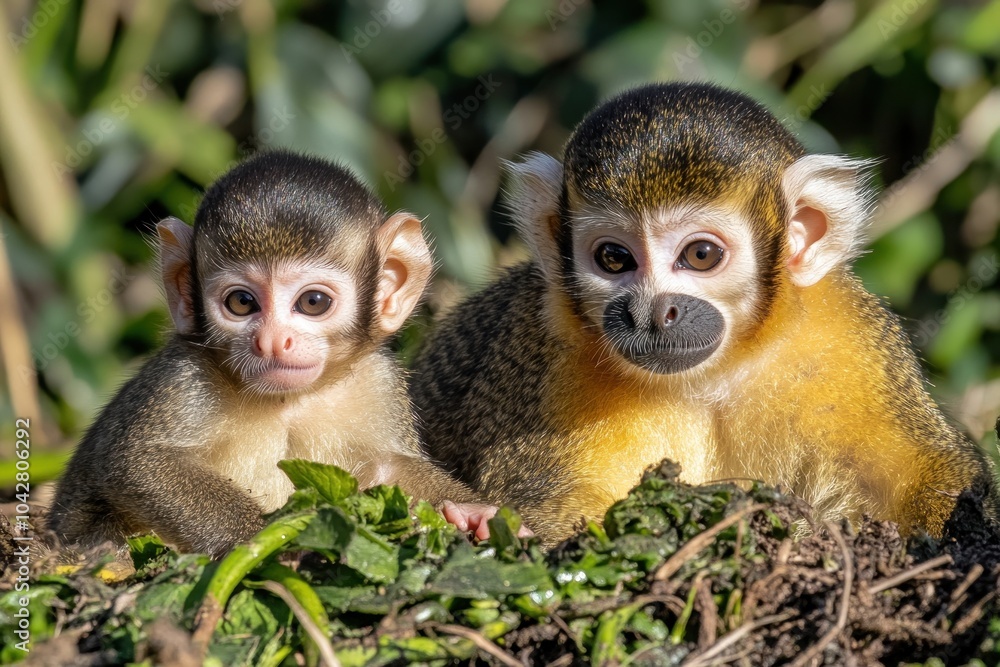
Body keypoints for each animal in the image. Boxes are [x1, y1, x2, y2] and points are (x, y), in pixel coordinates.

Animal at [47, 150, 499, 559]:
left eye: (313, 302)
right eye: (242, 302)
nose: (272, 341)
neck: (289, 401)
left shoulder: (379, 380)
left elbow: (390, 467)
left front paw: (469, 510)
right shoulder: (184, 375)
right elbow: (140, 462)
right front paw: (264, 539)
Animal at [410, 82, 998, 546]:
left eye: (700, 255)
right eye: (613, 258)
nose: (652, 312)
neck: (715, 373)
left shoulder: (852, 333)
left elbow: (928, 472)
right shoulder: (544, 351)